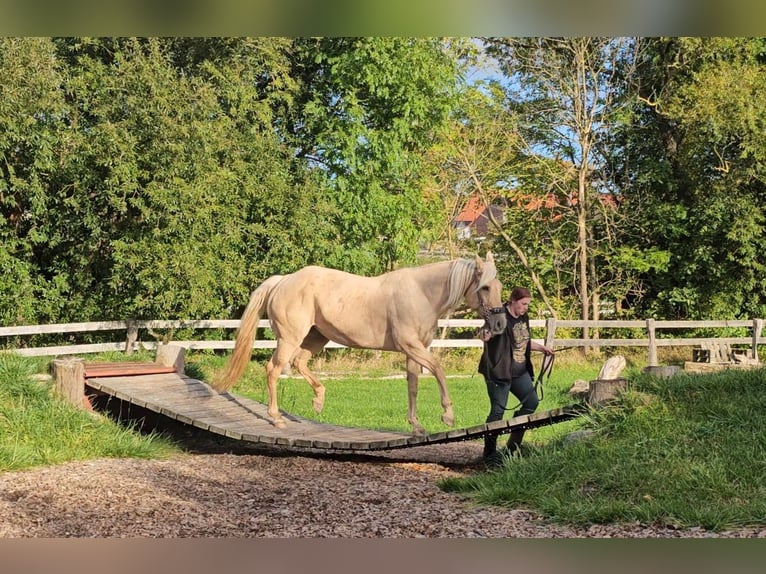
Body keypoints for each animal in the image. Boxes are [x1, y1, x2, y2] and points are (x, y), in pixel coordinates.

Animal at [213, 252, 506, 435]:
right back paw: (277, 418)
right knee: (274, 370)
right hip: (290, 338)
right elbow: (439, 371)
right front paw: (447, 415)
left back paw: (318, 400)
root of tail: (282, 281)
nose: (500, 324)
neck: (421, 294)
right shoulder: (412, 347)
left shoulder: (413, 352)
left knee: (298, 362)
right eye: (484, 287)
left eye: (499, 286)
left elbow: (413, 387)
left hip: (317, 337)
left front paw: (416, 426)